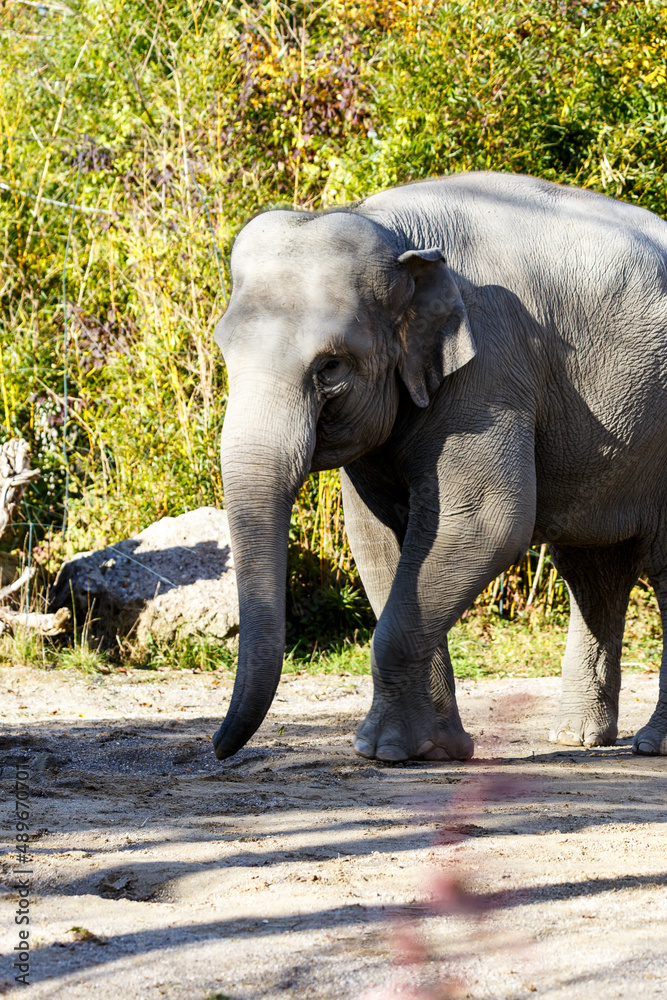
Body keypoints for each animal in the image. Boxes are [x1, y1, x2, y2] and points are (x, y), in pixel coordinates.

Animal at [211, 170, 667, 763]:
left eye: (331, 368)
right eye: (224, 351)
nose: (218, 748)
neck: (394, 231)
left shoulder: (491, 371)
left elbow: (484, 524)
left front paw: (380, 751)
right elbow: (378, 542)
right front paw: (433, 751)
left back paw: (650, 746)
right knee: (594, 570)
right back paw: (578, 738)